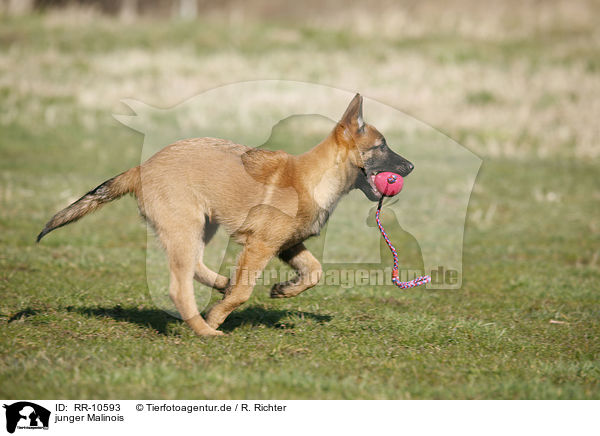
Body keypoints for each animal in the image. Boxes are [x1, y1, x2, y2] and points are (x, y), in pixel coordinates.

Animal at [36, 93, 412, 338]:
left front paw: (284, 290)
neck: (314, 179)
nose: (410, 167)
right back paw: (204, 330)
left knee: (196, 265)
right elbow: (244, 292)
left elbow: (315, 272)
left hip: (202, 226)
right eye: (381, 146)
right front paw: (217, 317)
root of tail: (141, 168)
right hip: (187, 227)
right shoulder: (260, 247)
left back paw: (219, 284)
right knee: (180, 287)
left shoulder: (286, 245)